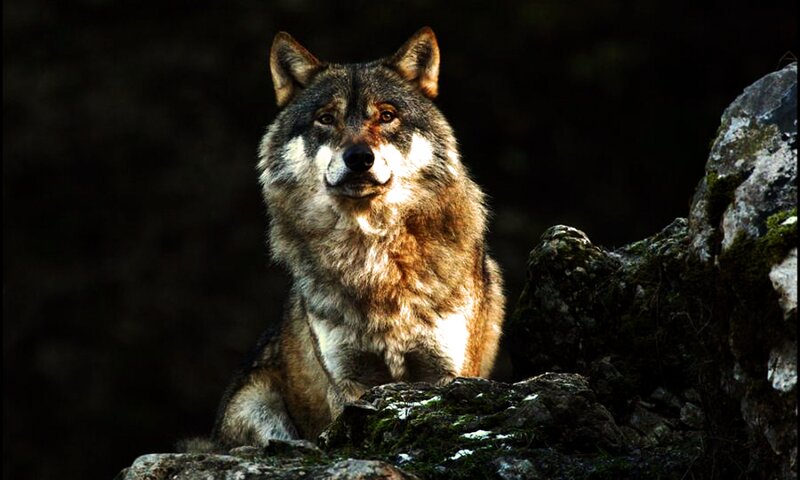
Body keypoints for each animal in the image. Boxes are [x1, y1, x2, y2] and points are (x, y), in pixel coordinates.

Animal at [213, 27, 505, 446]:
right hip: (254, 401)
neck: (374, 255)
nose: (359, 158)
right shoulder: (349, 381)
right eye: (326, 119)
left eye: (386, 116)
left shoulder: (446, 374)